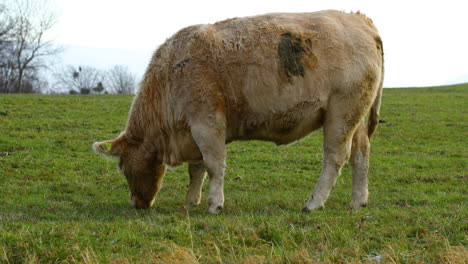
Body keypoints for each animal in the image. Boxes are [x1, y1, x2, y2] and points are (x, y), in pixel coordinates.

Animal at [92, 9, 384, 214]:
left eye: (121, 166)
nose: (136, 203)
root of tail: (360, 20)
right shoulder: (195, 129)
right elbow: (197, 168)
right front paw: (191, 201)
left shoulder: (206, 123)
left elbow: (213, 164)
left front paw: (214, 204)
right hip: (356, 116)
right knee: (361, 155)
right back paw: (357, 201)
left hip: (341, 113)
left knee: (335, 157)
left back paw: (313, 202)